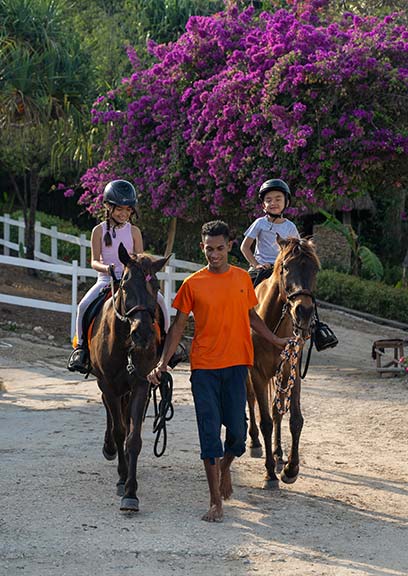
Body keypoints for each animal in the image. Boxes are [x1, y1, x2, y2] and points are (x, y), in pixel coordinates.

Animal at [90, 241, 170, 510]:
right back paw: (109, 449)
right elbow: (119, 430)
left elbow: (133, 437)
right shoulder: (108, 385)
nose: (143, 334)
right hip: (107, 387)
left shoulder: (141, 385)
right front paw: (122, 477)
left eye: (156, 287)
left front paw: (130, 492)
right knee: (111, 414)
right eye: (125, 284)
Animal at [247, 234, 320, 490]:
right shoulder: (257, 373)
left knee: (277, 409)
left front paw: (290, 468)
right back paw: (255, 443)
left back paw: (279, 455)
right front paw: (269, 473)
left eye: (315, 269)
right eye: (286, 267)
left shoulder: (291, 370)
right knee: (251, 401)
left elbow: (294, 419)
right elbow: (266, 422)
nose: (304, 312)